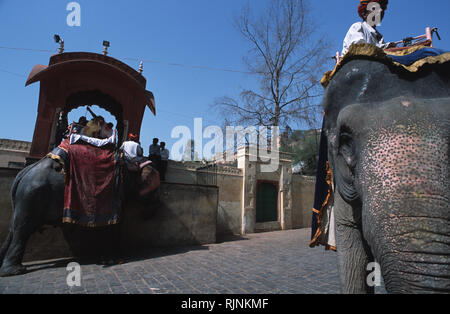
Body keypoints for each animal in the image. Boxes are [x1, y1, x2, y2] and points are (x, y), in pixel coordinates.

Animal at [0, 144, 160, 276]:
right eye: (153, 191)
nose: (147, 215)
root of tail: (24, 172)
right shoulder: (115, 191)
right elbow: (115, 222)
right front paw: (113, 259)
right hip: (32, 195)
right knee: (22, 229)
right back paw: (15, 271)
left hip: (24, 198)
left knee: (13, 228)